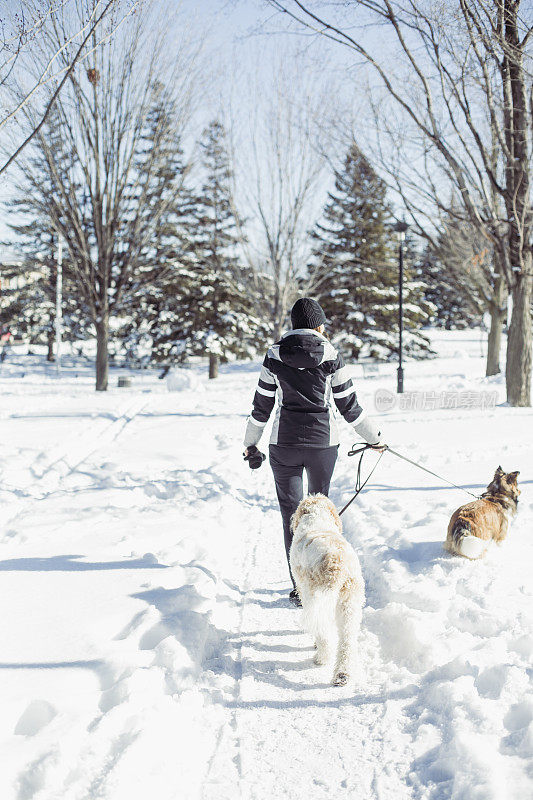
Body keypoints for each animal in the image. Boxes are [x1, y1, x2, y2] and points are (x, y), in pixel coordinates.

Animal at [288, 494, 364, 688]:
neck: (317, 516)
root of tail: (336, 561)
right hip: (349, 604)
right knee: (346, 640)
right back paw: (342, 675)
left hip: (317, 597)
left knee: (324, 634)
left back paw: (321, 658)